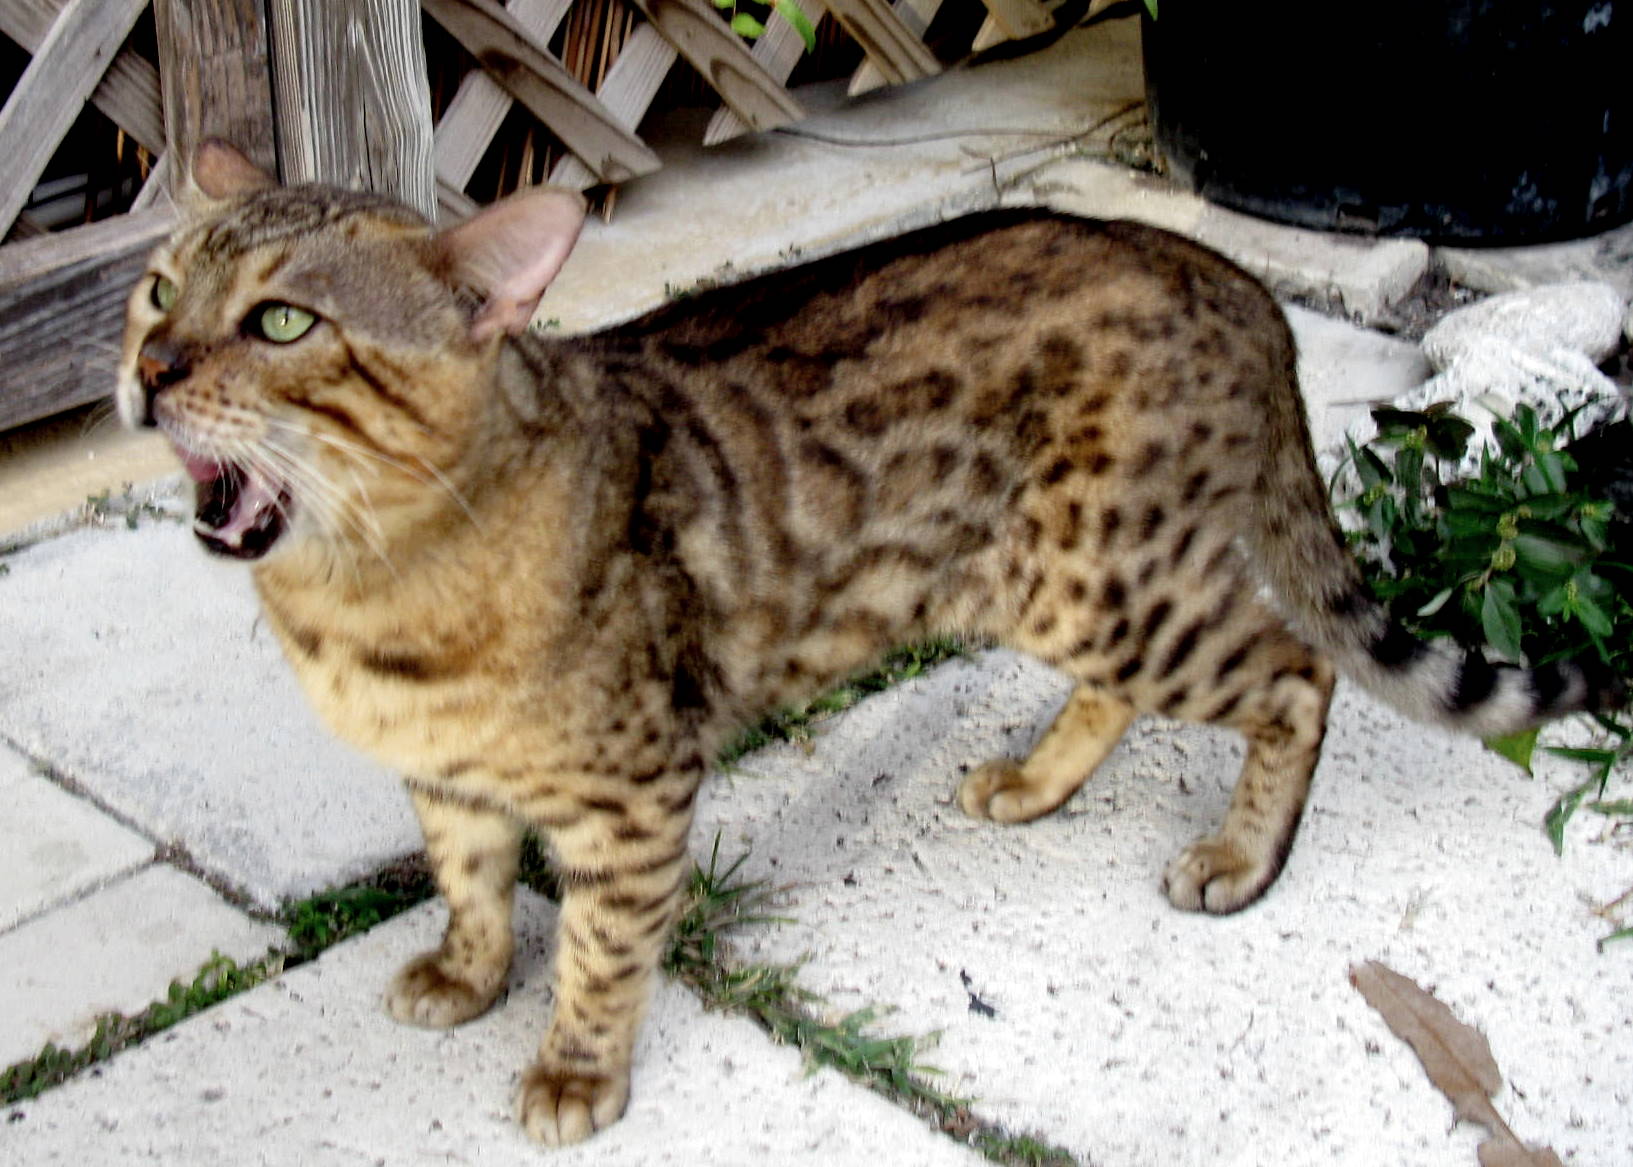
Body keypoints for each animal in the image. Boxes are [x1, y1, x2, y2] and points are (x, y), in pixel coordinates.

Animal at [117, 140, 1617, 1147]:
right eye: (155, 290)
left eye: (283, 321)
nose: (148, 370)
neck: (361, 595)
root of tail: (1220, 265)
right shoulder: (448, 777)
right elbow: (474, 884)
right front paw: (471, 975)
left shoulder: (633, 790)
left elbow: (599, 947)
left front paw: (576, 1070)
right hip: (1060, 581)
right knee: (1133, 690)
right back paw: (1035, 780)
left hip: (1104, 585)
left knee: (1297, 672)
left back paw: (1243, 859)